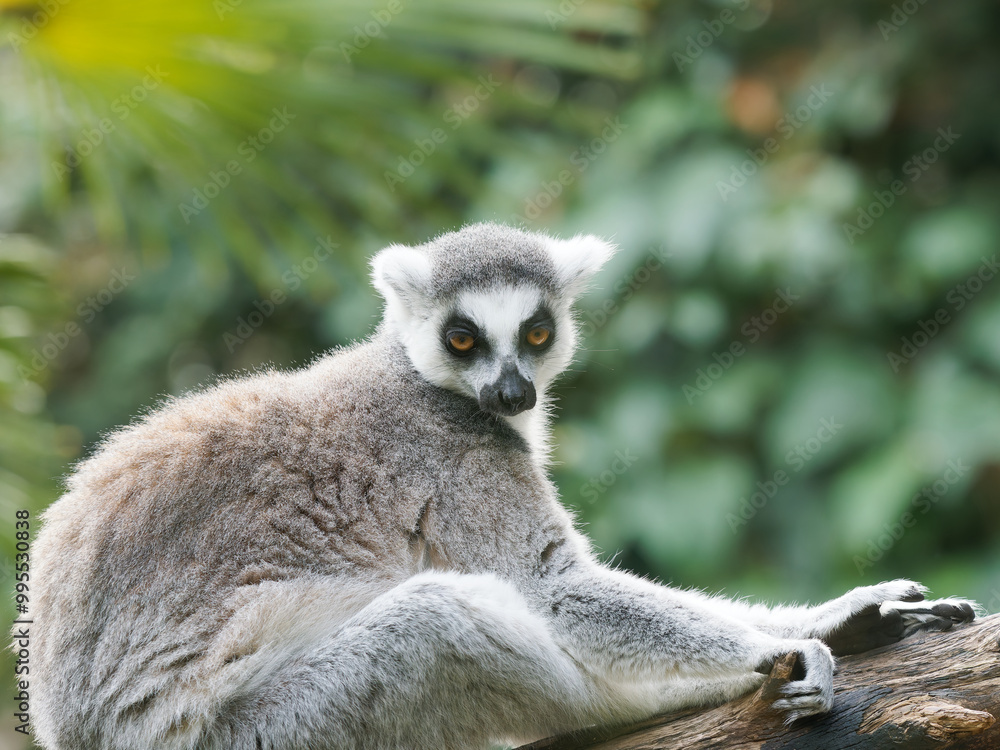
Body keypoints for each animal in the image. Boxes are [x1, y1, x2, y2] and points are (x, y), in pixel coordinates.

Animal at [26, 222, 976, 749]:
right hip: (265, 732)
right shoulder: (455, 459)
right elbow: (551, 589)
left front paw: (838, 615)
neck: (421, 380)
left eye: (537, 330)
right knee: (438, 624)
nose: (514, 393)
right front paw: (771, 650)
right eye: (462, 339)